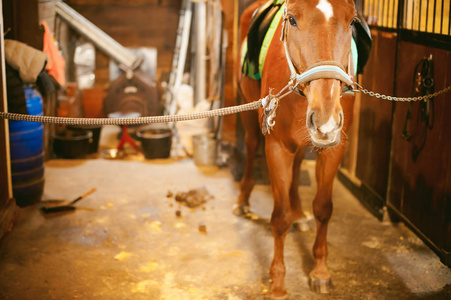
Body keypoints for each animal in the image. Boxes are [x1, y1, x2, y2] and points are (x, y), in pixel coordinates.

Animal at [238, 0, 358, 296]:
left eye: (352, 21)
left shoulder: (334, 148)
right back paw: (243, 200)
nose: (326, 117)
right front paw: (278, 283)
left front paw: (320, 271)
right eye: (291, 20)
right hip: (248, 110)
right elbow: (279, 218)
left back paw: (299, 212)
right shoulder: (277, 147)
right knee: (250, 145)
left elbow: (324, 209)